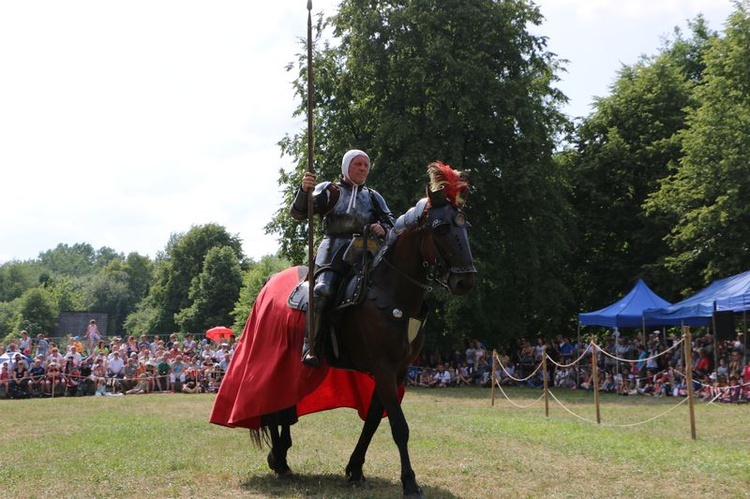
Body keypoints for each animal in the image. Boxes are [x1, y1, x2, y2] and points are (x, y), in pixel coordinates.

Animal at [210, 162, 476, 498]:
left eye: (465, 227)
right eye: (441, 229)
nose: (465, 281)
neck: (390, 288)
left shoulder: (398, 371)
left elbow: (373, 420)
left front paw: (354, 468)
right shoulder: (384, 368)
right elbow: (399, 427)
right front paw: (410, 482)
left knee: (284, 406)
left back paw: (282, 455)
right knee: (271, 404)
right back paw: (280, 460)